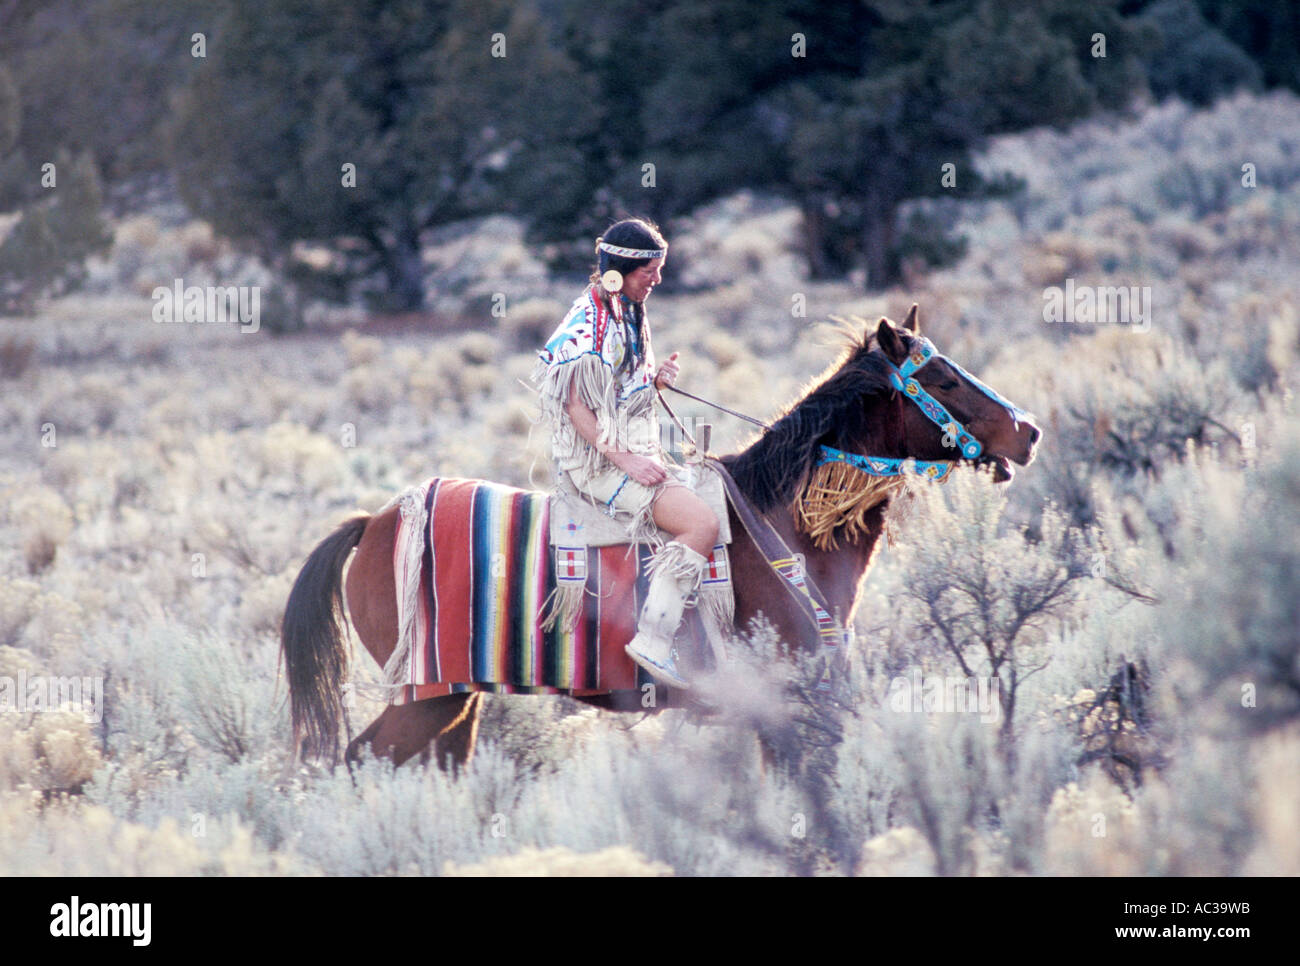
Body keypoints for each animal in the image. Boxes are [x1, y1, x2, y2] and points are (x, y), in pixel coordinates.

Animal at [279, 305, 1040, 774]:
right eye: (943, 379)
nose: (1028, 430)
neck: (784, 527)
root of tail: (376, 522)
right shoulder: (789, 707)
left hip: (450, 700)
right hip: (420, 701)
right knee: (351, 765)